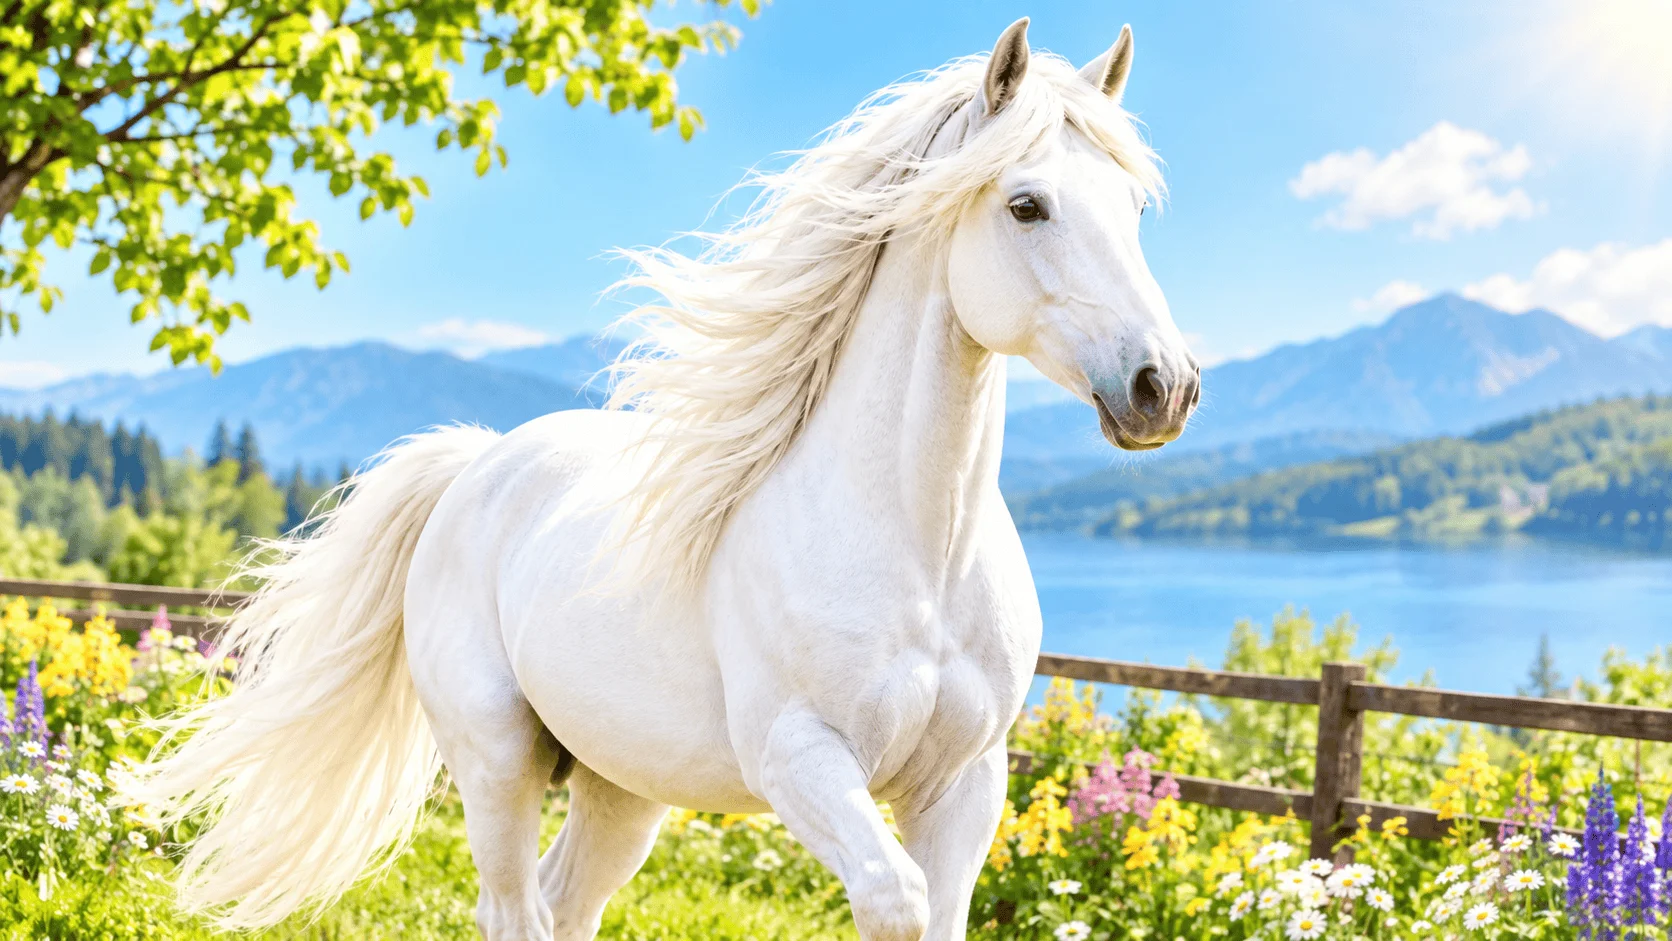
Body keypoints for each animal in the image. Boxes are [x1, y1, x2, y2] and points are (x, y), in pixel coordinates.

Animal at [135, 18, 1199, 941]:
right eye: (1025, 204)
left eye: (1136, 210)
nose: (1165, 386)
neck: (917, 553)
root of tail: (476, 463)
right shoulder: (800, 759)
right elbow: (892, 900)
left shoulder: (966, 784)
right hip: (497, 759)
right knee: (512, 908)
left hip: (621, 781)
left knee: (566, 902)